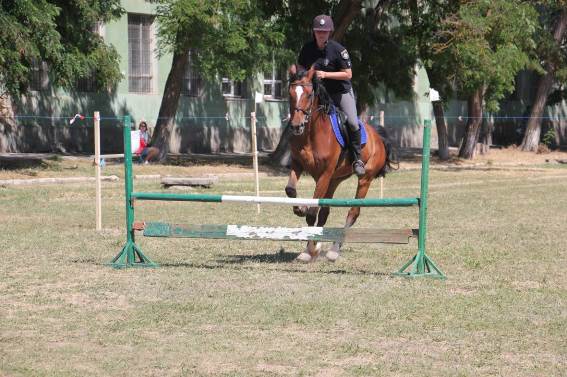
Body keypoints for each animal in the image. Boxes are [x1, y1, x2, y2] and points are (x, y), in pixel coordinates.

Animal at [284, 64, 394, 262]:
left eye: (309, 95)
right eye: (290, 94)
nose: (296, 126)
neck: (311, 134)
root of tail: (379, 138)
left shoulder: (325, 174)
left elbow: (312, 213)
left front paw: (309, 250)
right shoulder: (298, 164)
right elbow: (291, 190)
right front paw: (300, 211)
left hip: (364, 179)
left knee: (353, 213)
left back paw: (334, 250)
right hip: (335, 180)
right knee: (325, 212)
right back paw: (318, 246)